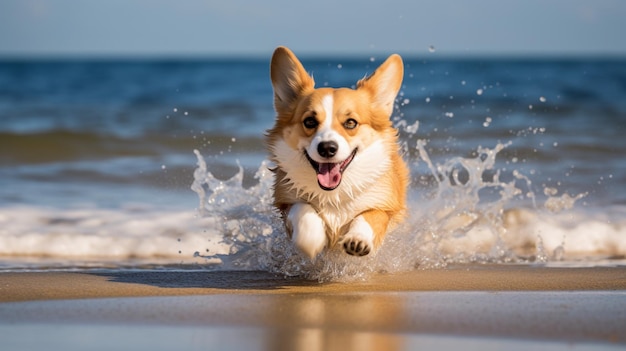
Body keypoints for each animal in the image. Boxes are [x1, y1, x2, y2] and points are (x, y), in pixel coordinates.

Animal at [264, 46, 408, 260]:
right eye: (309, 122)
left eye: (351, 123)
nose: (327, 148)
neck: (333, 194)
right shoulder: (287, 202)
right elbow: (303, 209)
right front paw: (311, 240)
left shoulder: (385, 206)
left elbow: (370, 215)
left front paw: (358, 240)